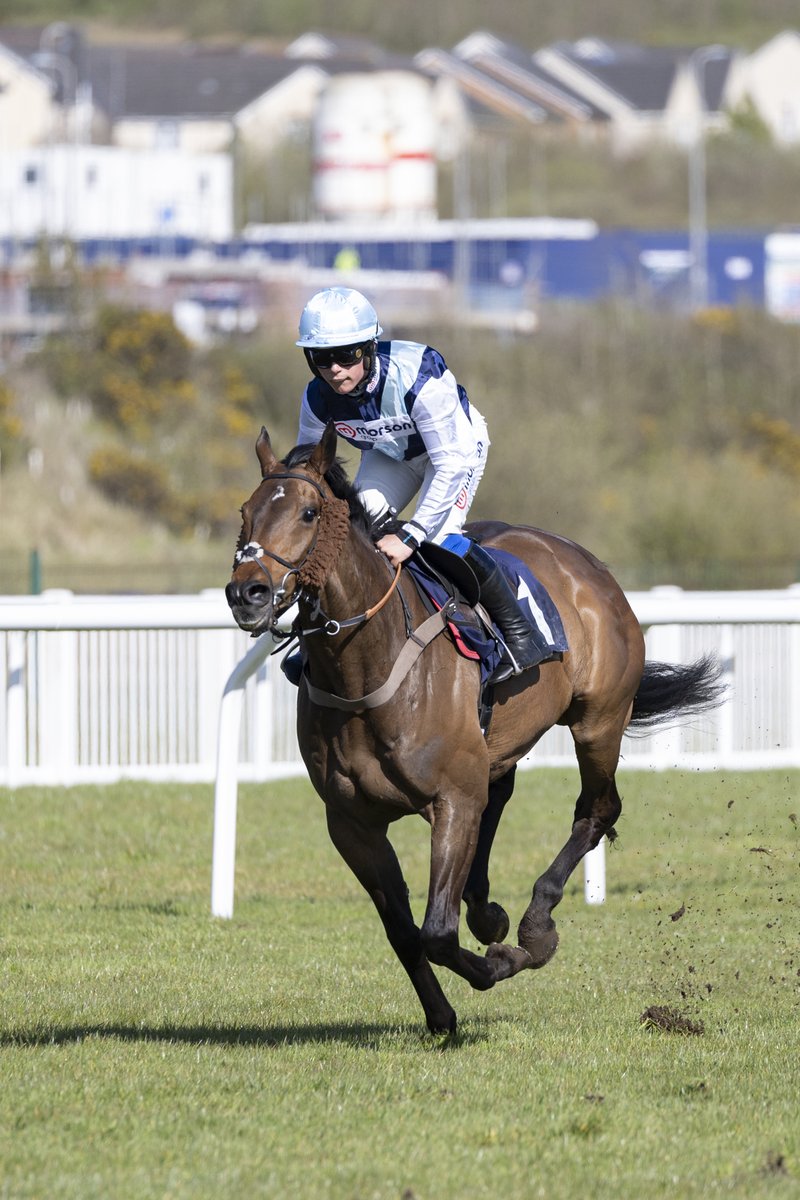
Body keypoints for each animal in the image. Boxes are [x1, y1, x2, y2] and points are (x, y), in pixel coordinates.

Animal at [225, 424, 724, 1032]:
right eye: (245, 513)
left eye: (308, 512)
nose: (246, 592)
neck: (366, 666)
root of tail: (586, 562)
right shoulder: (352, 823)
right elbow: (404, 933)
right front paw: (442, 1016)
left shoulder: (451, 800)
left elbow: (437, 932)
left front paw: (506, 960)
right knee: (501, 795)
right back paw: (489, 912)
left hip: (599, 719)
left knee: (598, 810)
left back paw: (535, 923)